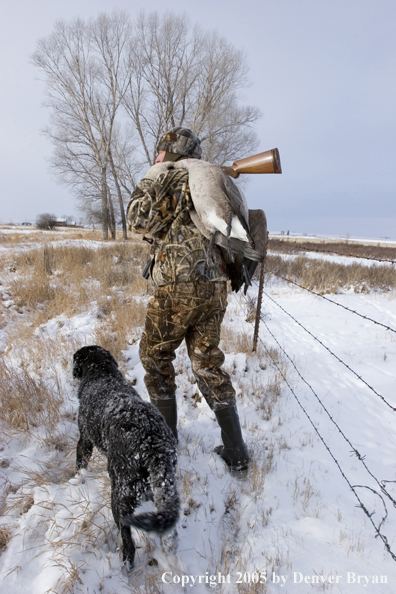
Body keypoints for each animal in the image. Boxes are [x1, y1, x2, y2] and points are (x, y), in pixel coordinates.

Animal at [72, 344, 179, 568]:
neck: (101, 374)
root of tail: (153, 444)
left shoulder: (84, 439)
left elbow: (80, 462)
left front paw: (78, 479)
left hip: (120, 496)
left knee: (127, 541)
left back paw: (125, 565)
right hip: (162, 489)